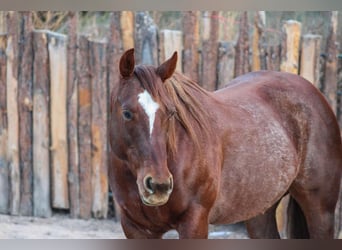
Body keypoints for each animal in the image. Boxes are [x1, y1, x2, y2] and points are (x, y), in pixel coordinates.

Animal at [109, 48, 342, 238]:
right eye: (127, 113)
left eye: (171, 113)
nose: (159, 185)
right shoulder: (136, 228)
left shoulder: (194, 222)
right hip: (259, 211)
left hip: (321, 210)